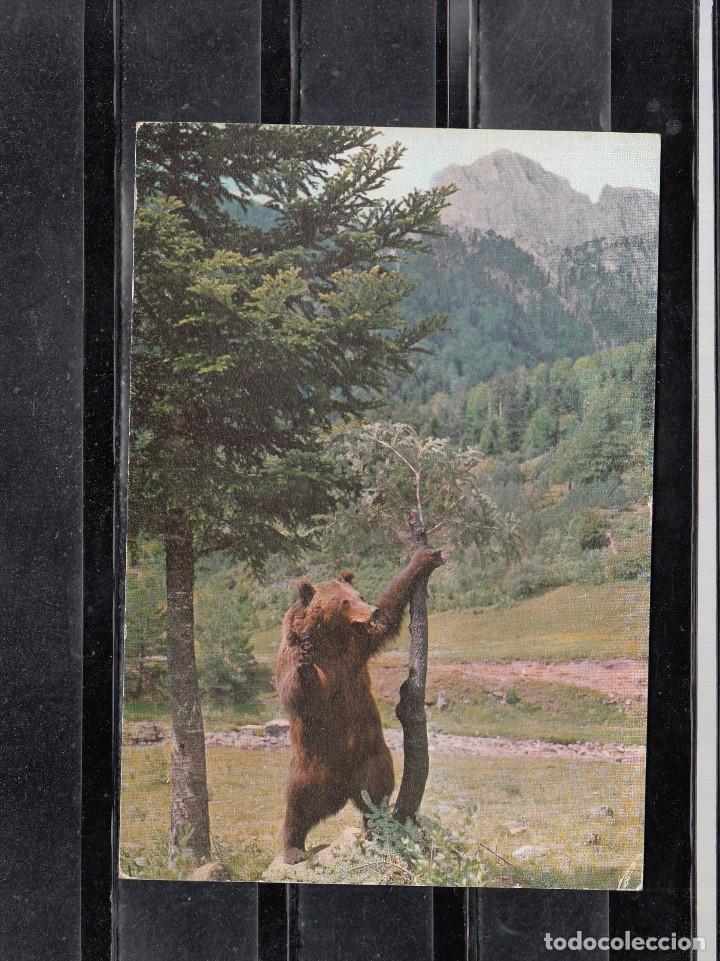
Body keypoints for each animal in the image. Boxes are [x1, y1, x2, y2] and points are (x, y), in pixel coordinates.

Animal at [275, 546, 447, 864]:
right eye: (344, 601)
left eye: (360, 595)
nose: (371, 611)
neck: (331, 640)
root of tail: (341, 789)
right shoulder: (293, 653)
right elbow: (293, 692)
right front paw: (305, 666)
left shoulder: (357, 647)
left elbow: (390, 613)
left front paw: (423, 559)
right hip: (309, 767)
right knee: (297, 805)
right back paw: (293, 848)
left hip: (371, 758)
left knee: (375, 793)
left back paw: (375, 828)